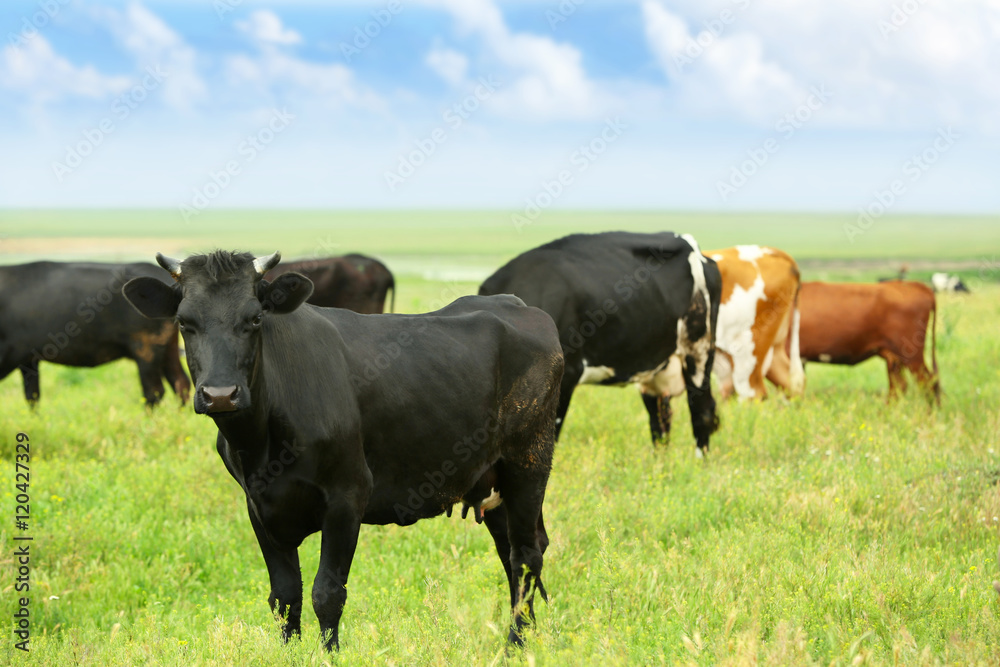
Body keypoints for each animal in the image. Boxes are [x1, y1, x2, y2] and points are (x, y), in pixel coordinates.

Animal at [0, 261, 190, 406]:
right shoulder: (28, 360)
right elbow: (32, 396)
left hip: (146, 347)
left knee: (154, 391)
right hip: (169, 346)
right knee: (180, 383)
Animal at [478, 231, 721, 455]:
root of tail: (691, 244)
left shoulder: (567, 375)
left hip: (699, 350)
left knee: (701, 410)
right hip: (655, 366)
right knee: (659, 419)